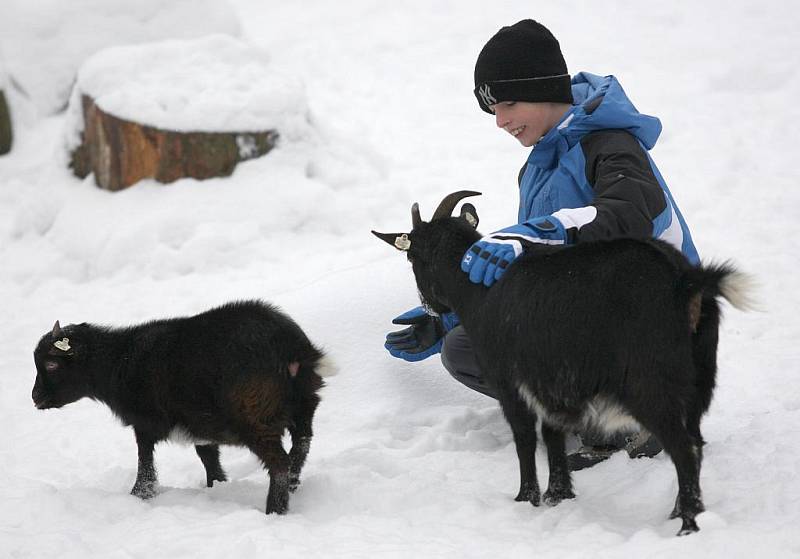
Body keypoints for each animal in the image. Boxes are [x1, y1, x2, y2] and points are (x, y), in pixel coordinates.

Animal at [32, 300, 332, 516]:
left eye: (51, 364)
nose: (35, 397)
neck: (118, 361)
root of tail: (293, 349)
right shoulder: (200, 423)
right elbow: (208, 456)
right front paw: (217, 485)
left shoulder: (145, 422)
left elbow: (145, 464)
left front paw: (140, 495)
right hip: (305, 403)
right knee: (303, 442)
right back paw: (293, 483)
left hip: (254, 415)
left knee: (278, 462)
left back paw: (274, 510)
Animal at [372, 192, 752, 540]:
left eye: (412, 255)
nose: (431, 308)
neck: (477, 290)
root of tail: (685, 281)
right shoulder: (551, 383)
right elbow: (552, 435)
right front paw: (558, 495)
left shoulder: (508, 383)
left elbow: (525, 438)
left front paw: (526, 498)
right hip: (699, 379)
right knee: (696, 442)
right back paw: (680, 511)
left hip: (650, 383)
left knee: (684, 448)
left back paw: (687, 526)